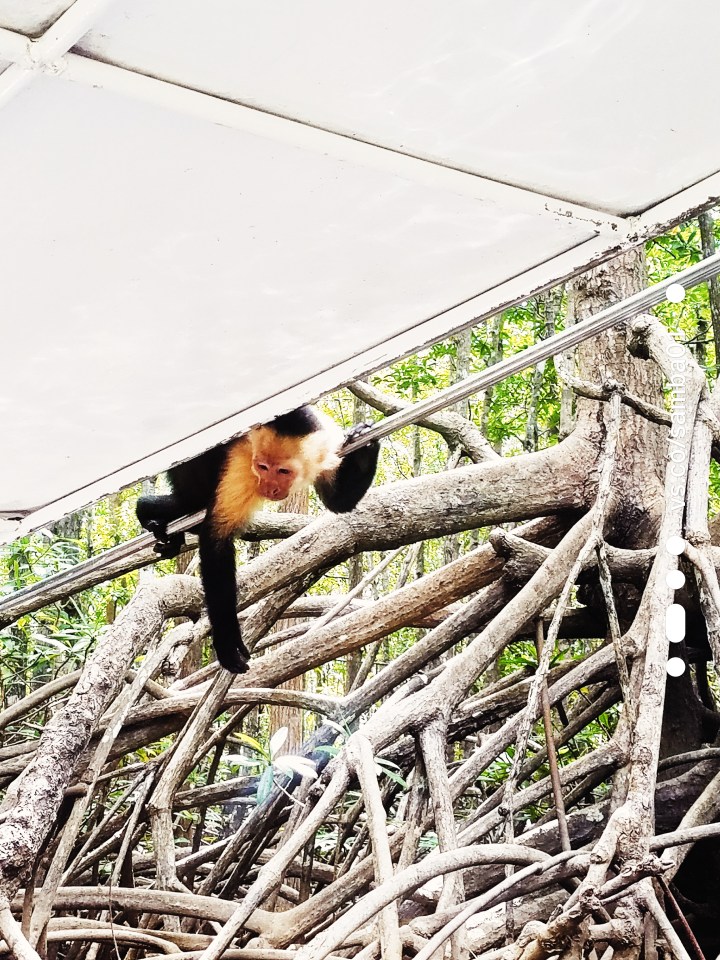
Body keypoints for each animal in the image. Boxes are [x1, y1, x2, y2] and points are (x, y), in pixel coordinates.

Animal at [136, 408, 382, 672]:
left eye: (283, 471)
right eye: (262, 467)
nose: (268, 488)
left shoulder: (328, 447)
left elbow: (337, 503)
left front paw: (366, 445)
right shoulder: (242, 465)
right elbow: (216, 539)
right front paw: (227, 642)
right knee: (192, 499)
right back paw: (150, 510)